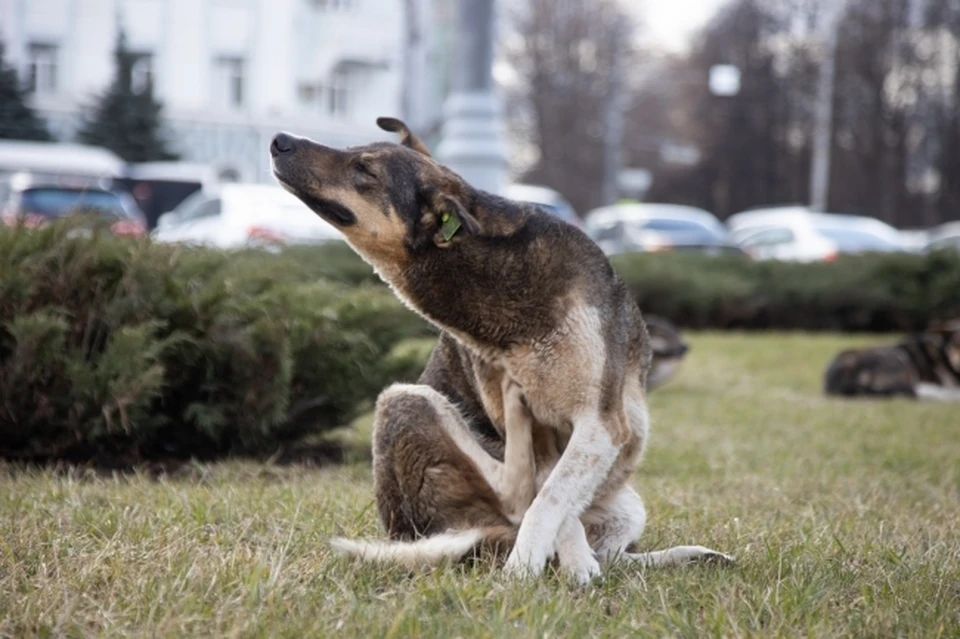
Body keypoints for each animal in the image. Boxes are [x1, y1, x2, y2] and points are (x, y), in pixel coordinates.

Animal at [266, 117, 732, 584]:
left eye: (365, 169)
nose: (278, 140)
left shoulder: (601, 423)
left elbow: (551, 499)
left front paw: (535, 568)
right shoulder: (560, 435)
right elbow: (549, 498)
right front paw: (548, 567)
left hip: (623, 502)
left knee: (587, 536)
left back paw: (682, 556)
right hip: (408, 398)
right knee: (518, 497)